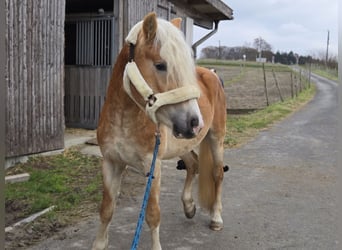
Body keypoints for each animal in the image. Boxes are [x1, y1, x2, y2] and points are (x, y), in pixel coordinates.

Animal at [92, 12, 227, 250]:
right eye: (160, 65)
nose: (195, 122)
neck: (124, 119)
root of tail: (212, 76)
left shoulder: (152, 166)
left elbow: (153, 215)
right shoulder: (111, 162)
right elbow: (106, 209)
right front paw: (100, 243)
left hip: (216, 137)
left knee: (217, 173)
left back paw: (216, 218)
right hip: (183, 142)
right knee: (193, 165)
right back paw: (189, 206)